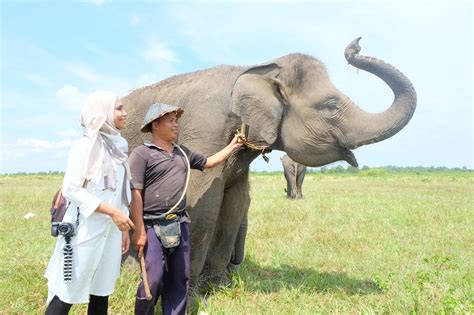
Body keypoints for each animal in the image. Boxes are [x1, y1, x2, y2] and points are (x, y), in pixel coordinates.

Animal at [122, 37, 414, 292]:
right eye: (330, 106)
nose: (355, 46)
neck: (260, 67)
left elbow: (235, 203)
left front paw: (219, 287)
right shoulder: (204, 130)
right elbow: (203, 203)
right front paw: (192, 293)